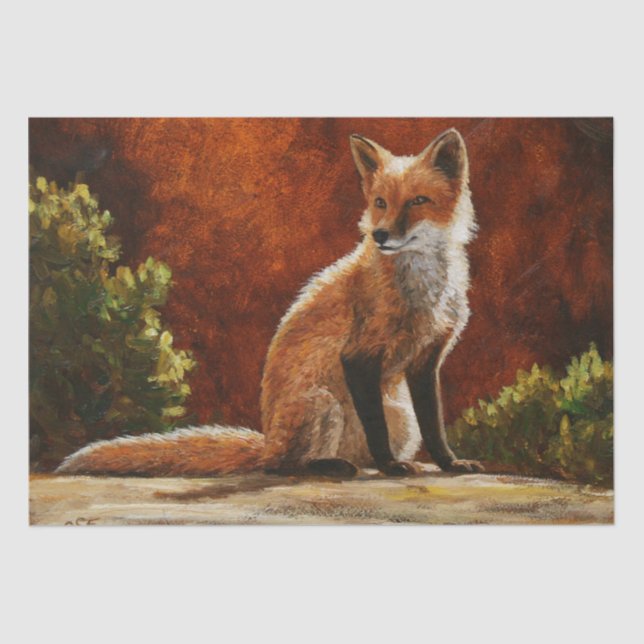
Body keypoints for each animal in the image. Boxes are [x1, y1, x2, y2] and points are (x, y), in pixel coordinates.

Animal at [57, 128, 484, 478]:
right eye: (380, 202)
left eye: (417, 201)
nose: (379, 235)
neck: (422, 289)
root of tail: (266, 442)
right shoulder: (359, 356)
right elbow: (377, 430)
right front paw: (391, 466)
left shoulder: (427, 358)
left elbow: (435, 425)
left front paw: (449, 463)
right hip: (323, 403)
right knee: (283, 465)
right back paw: (330, 466)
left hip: (400, 416)